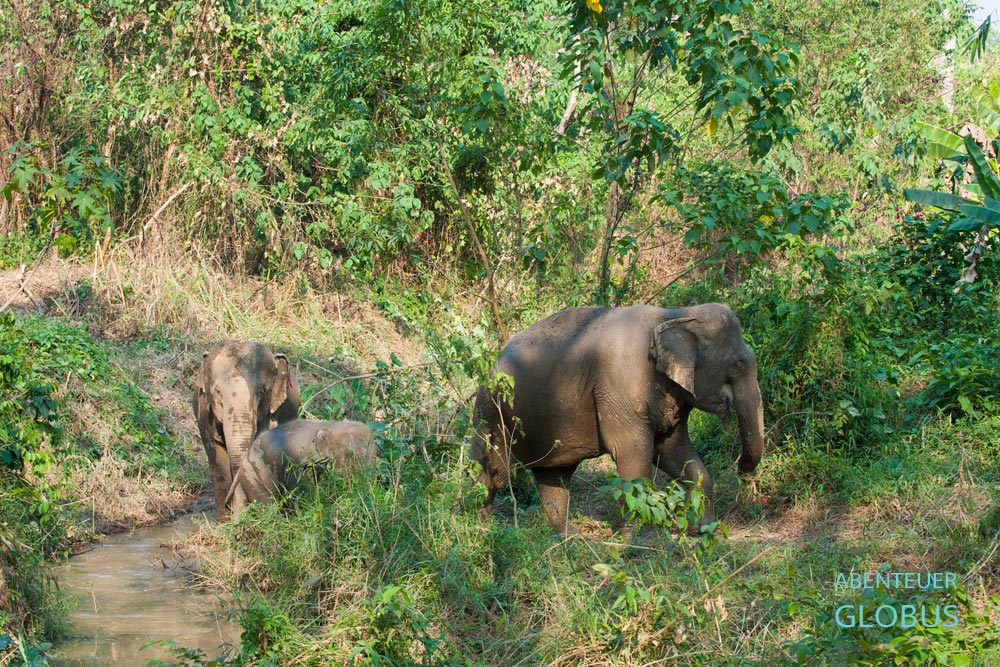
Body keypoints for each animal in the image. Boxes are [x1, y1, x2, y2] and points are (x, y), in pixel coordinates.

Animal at [192, 341, 300, 520]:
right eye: (218, 392)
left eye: (262, 391)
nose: (232, 507)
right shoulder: (204, 414)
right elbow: (218, 460)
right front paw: (226, 521)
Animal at [472, 303, 766, 535]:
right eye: (738, 364)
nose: (744, 473)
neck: (674, 314)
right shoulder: (619, 386)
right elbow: (632, 455)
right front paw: (641, 537)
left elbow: (675, 451)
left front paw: (704, 529)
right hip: (491, 414)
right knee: (493, 473)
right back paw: (478, 528)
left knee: (553, 478)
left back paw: (570, 538)